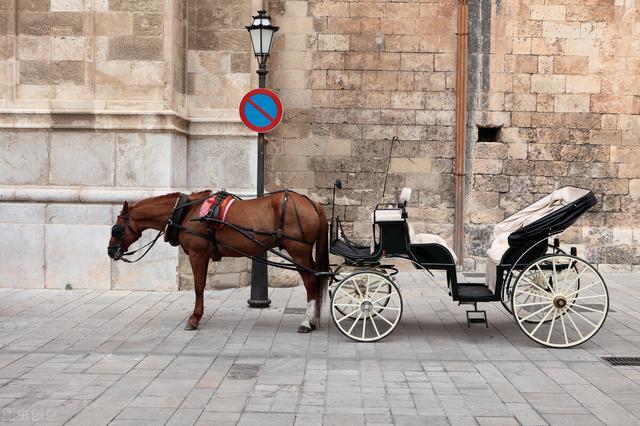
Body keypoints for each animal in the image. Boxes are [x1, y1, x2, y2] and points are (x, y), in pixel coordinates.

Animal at [105, 191, 330, 332]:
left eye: (116, 229)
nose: (110, 251)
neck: (187, 213)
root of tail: (312, 202)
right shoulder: (202, 255)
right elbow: (201, 285)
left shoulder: (197, 254)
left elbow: (198, 286)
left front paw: (194, 319)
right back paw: (312, 320)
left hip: (299, 252)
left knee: (311, 282)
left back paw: (307, 322)